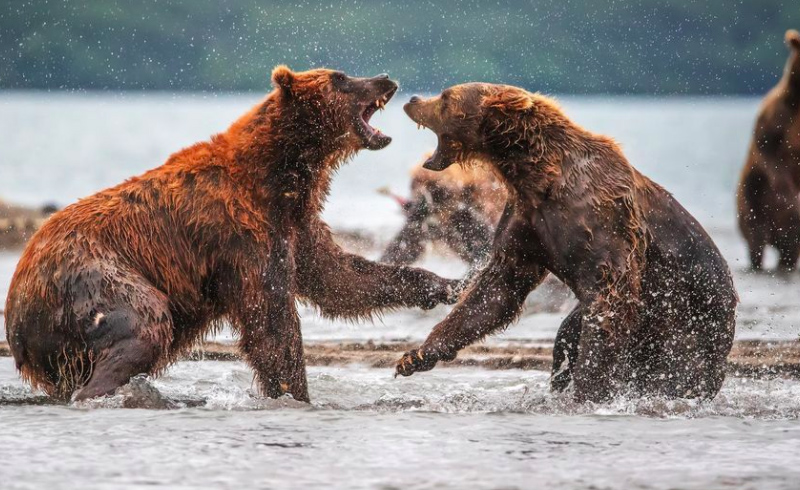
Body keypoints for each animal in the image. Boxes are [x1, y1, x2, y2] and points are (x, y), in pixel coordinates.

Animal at [4, 67, 456, 404]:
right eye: (341, 78)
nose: (385, 79)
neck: (282, 172)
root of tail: (17, 312)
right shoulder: (243, 233)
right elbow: (271, 320)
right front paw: (294, 391)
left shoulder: (295, 224)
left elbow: (339, 278)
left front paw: (444, 285)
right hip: (93, 277)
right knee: (144, 324)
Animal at [396, 81, 740, 402]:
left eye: (445, 97)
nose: (412, 99)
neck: (534, 175)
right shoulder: (526, 223)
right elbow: (496, 290)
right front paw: (416, 355)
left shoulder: (602, 220)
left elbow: (612, 298)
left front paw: (589, 388)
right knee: (565, 338)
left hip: (688, 324)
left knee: (677, 370)